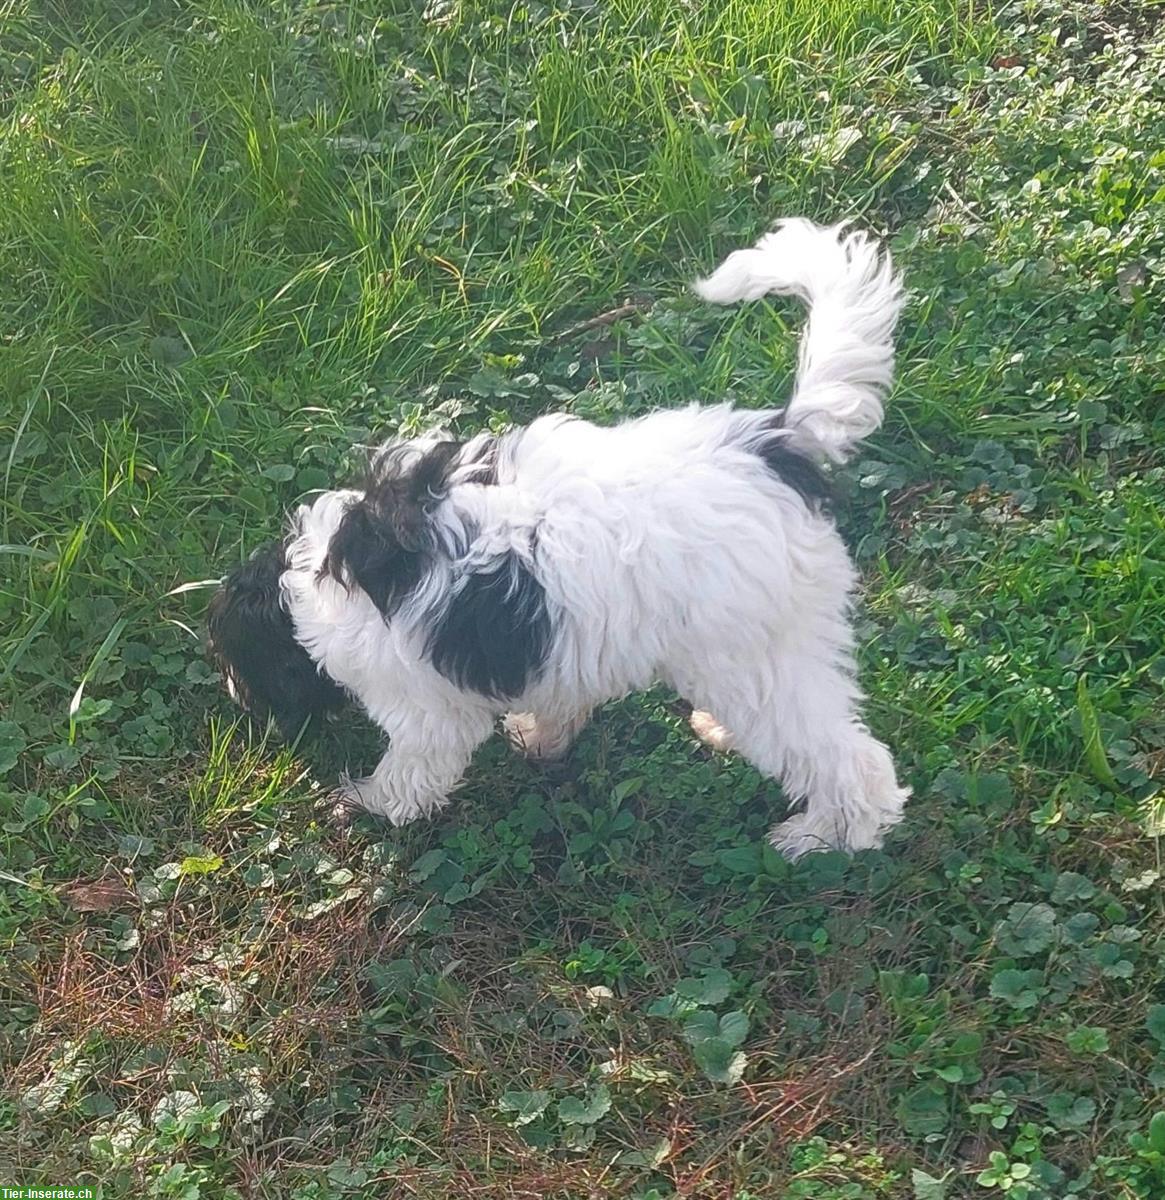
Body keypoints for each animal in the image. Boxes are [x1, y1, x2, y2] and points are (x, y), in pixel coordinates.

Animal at [209, 220, 911, 859]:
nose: (241, 706)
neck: (306, 582)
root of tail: (780, 445)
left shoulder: (420, 701)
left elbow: (414, 764)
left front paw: (374, 803)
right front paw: (542, 736)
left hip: (753, 653)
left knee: (849, 760)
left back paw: (823, 838)